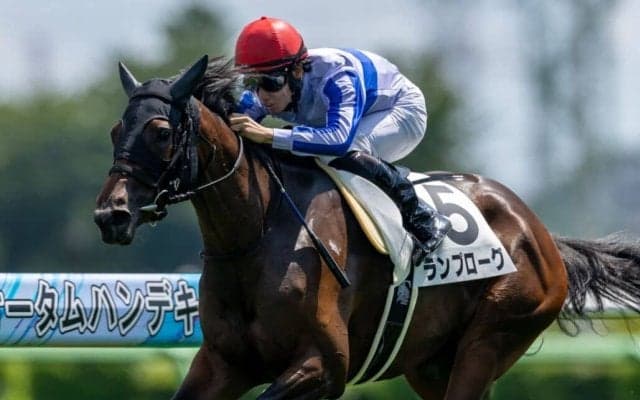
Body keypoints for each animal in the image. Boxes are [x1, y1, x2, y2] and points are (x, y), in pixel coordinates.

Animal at [94, 55, 640, 400]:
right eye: (116, 130)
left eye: (160, 131)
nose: (110, 214)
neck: (257, 233)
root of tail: (542, 233)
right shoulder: (223, 363)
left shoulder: (323, 366)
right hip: (431, 363)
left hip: (493, 335)